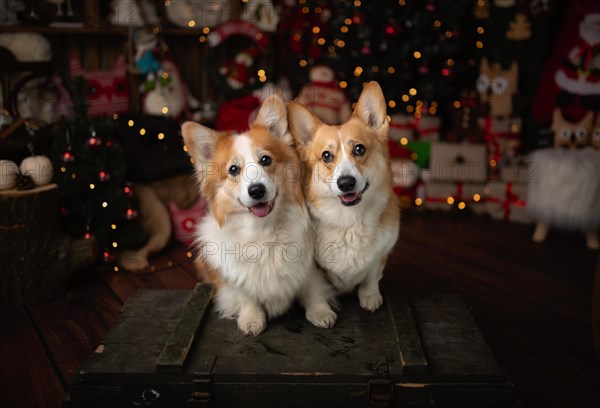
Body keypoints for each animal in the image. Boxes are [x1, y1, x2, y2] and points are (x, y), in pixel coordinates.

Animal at [182, 95, 338, 334]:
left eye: (265, 160)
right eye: (233, 169)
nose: (256, 190)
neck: (264, 229)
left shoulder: (311, 267)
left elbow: (314, 290)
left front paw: (320, 312)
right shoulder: (234, 278)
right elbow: (246, 296)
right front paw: (251, 318)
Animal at [288, 83, 400, 312]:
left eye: (359, 149)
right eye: (326, 156)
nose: (346, 183)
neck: (351, 222)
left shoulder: (380, 256)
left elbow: (371, 278)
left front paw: (370, 298)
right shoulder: (311, 268)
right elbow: (315, 290)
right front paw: (320, 312)